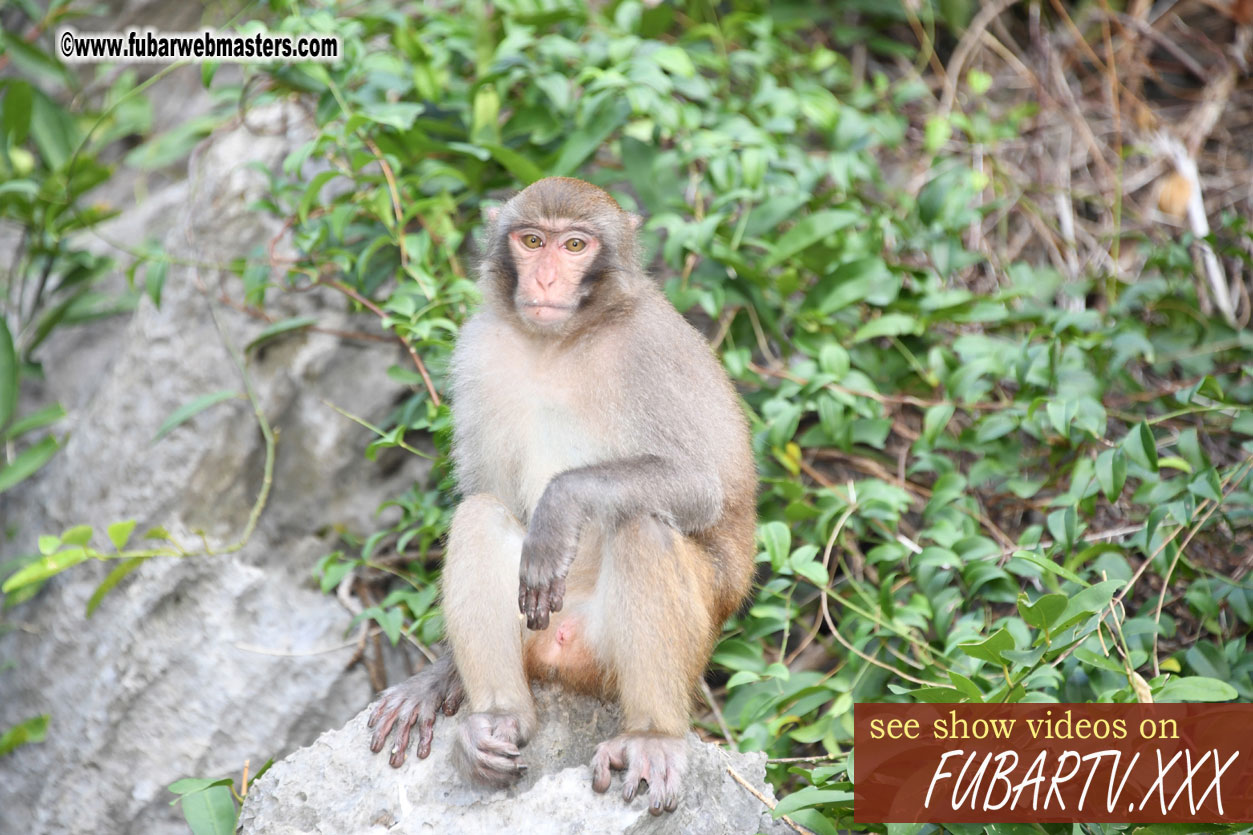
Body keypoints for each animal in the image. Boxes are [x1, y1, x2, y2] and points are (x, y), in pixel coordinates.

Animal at [363, 176, 751, 812]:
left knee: (642, 524)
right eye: (531, 241)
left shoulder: (649, 351)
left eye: (574, 245)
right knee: (479, 513)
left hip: (663, 645)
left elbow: (699, 486)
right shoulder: (479, 350)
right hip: (534, 631)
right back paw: (497, 721)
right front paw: (440, 676)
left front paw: (559, 509)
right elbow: (486, 489)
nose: (545, 279)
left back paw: (652, 736)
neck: (559, 344)